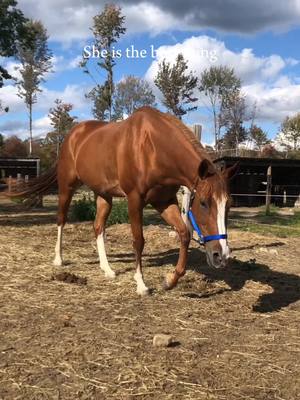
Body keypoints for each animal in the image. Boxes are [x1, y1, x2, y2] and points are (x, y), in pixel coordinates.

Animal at [7, 108, 237, 296]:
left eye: (229, 205)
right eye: (204, 203)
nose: (221, 255)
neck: (153, 148)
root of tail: (73, 135)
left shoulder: (163, 201)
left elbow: (184, 234)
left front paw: (170, 280)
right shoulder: (134, 199)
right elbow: (139, 240)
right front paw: (141, 285)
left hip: (103, 195)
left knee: (98, 226)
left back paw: (107, 269)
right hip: (67, 187)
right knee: (61, 219)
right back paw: (59, 259)